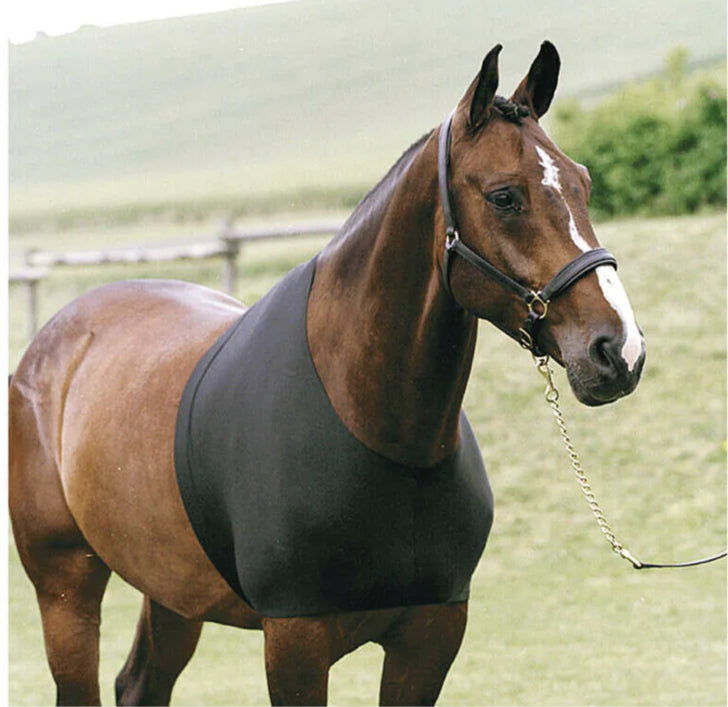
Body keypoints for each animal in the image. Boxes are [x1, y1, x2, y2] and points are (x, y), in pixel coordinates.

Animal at [9, 41, 645, 706]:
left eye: (583, 183)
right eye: (504, 196)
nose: (617, 350)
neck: (380, 432)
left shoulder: (431, 638)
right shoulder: (295, 642)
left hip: (171, 592)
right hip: (66, 587)